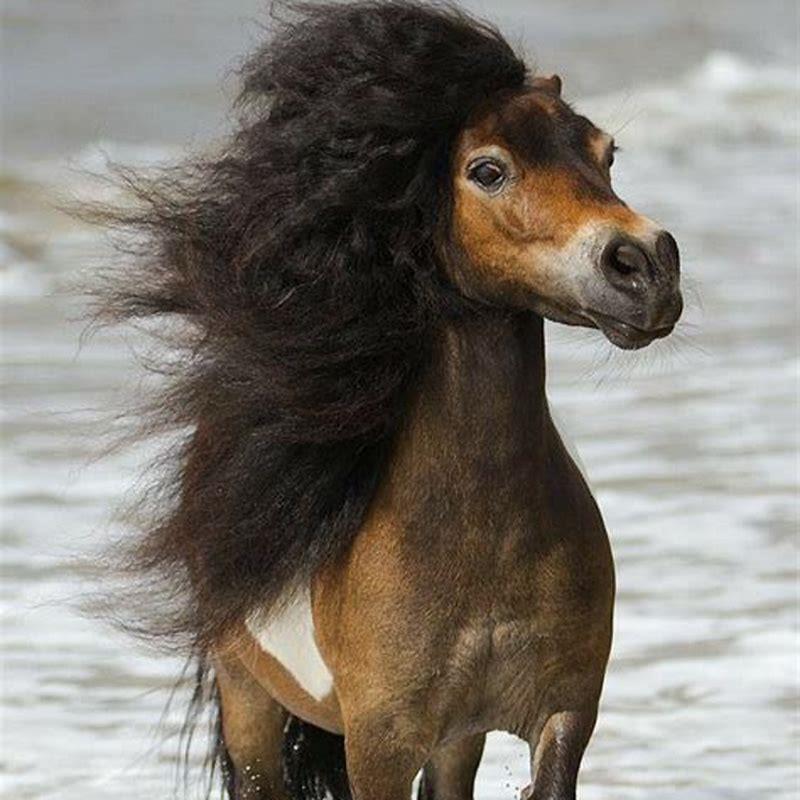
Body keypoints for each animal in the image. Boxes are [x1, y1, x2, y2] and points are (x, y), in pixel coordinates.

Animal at [95, 2, 682, 798]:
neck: (481, 537)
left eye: (606, 153)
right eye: (488, 169)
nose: (645, 267)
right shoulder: (381, 745)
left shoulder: (561, 717)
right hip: (248, 697)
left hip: (456, 740)